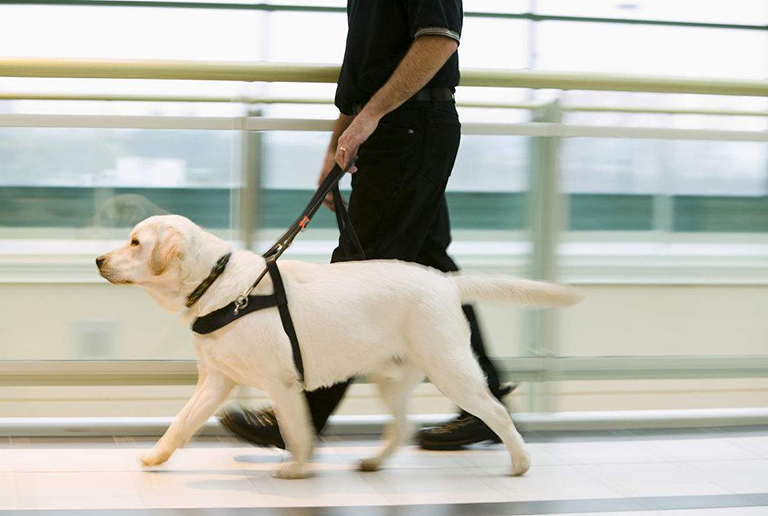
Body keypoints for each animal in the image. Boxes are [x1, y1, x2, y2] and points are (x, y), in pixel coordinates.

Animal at [94, 215, 576, 480]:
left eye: (135, 242)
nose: (98, 259)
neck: (220, 285)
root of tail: (445, 282)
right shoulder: (216, 380)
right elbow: (181, 422)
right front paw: (156, 455)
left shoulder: (282, 384)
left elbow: (296, 430)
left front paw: (298, 467)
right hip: (392, 378)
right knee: (403, 426)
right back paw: (375, 462)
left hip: (449, 369)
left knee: (495, 411)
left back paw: (519, 461)